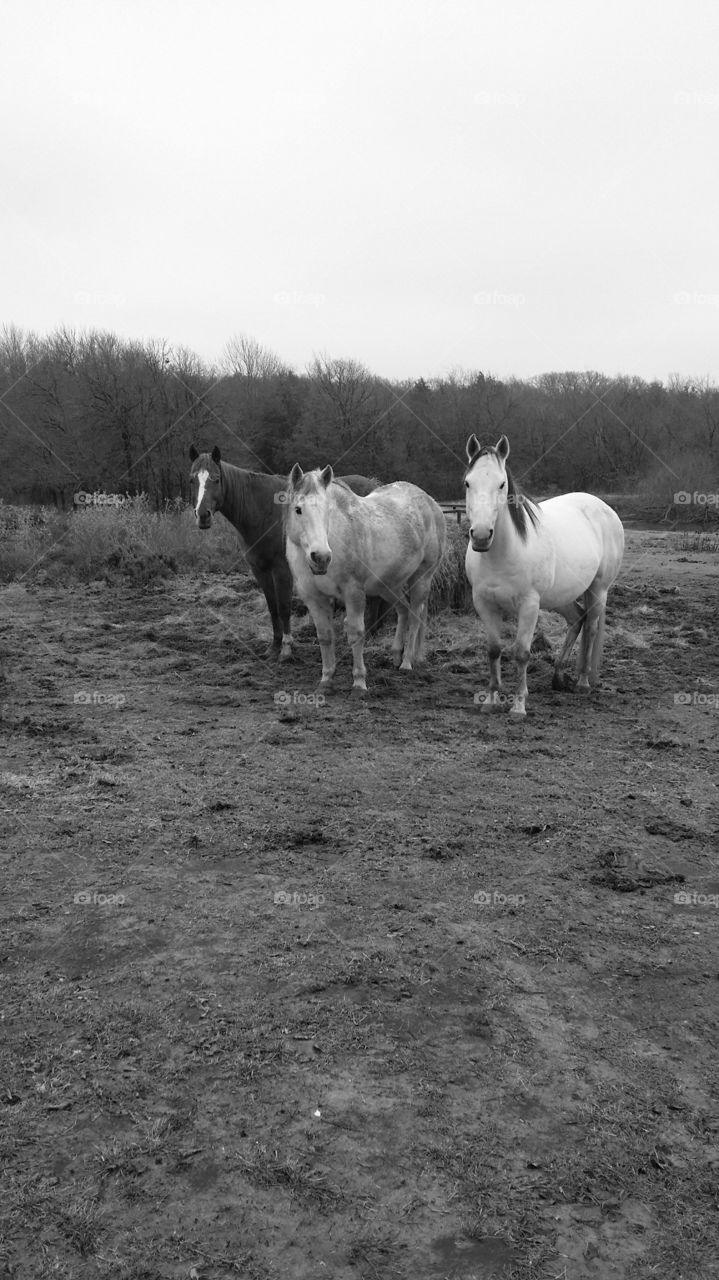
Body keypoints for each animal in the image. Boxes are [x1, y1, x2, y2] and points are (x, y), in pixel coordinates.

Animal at [188, 447, 390, 659]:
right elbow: (272, 607)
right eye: (192, 480)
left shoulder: (281, 569)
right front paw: (274, 646)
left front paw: (286, 648)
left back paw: (370, 633)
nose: (202, 516)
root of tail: (374, 485)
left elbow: (284, 607)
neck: (262, 512)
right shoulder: (260, 569)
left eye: (216, 479)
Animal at [284, 464, 447, 694]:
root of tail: (431, 503)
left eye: (328, 511)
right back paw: (395, 655)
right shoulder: (313, 598)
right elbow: (325, 636)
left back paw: (407, 662)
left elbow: (356, 633)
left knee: (415, 616)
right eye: (298, 509)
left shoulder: (354, 593)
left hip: (421, 579)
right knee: (403, 610)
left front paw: (359, 682)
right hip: (388, 586)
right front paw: (326, 680)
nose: (321, 557)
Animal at [464, 433, 624, 717]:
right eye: (468, 482)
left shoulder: (529, 605)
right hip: (562, 597)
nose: (481, 536)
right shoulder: (484, 603)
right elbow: (493, 650)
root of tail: (604, 507)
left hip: (598, 590)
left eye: (501, 484)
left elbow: (522, 653)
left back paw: (583, 682)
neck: (502, 554)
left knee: (591, 626)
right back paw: (558, 677)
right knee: (577, 620)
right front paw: (491, 700)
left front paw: (518, 705)